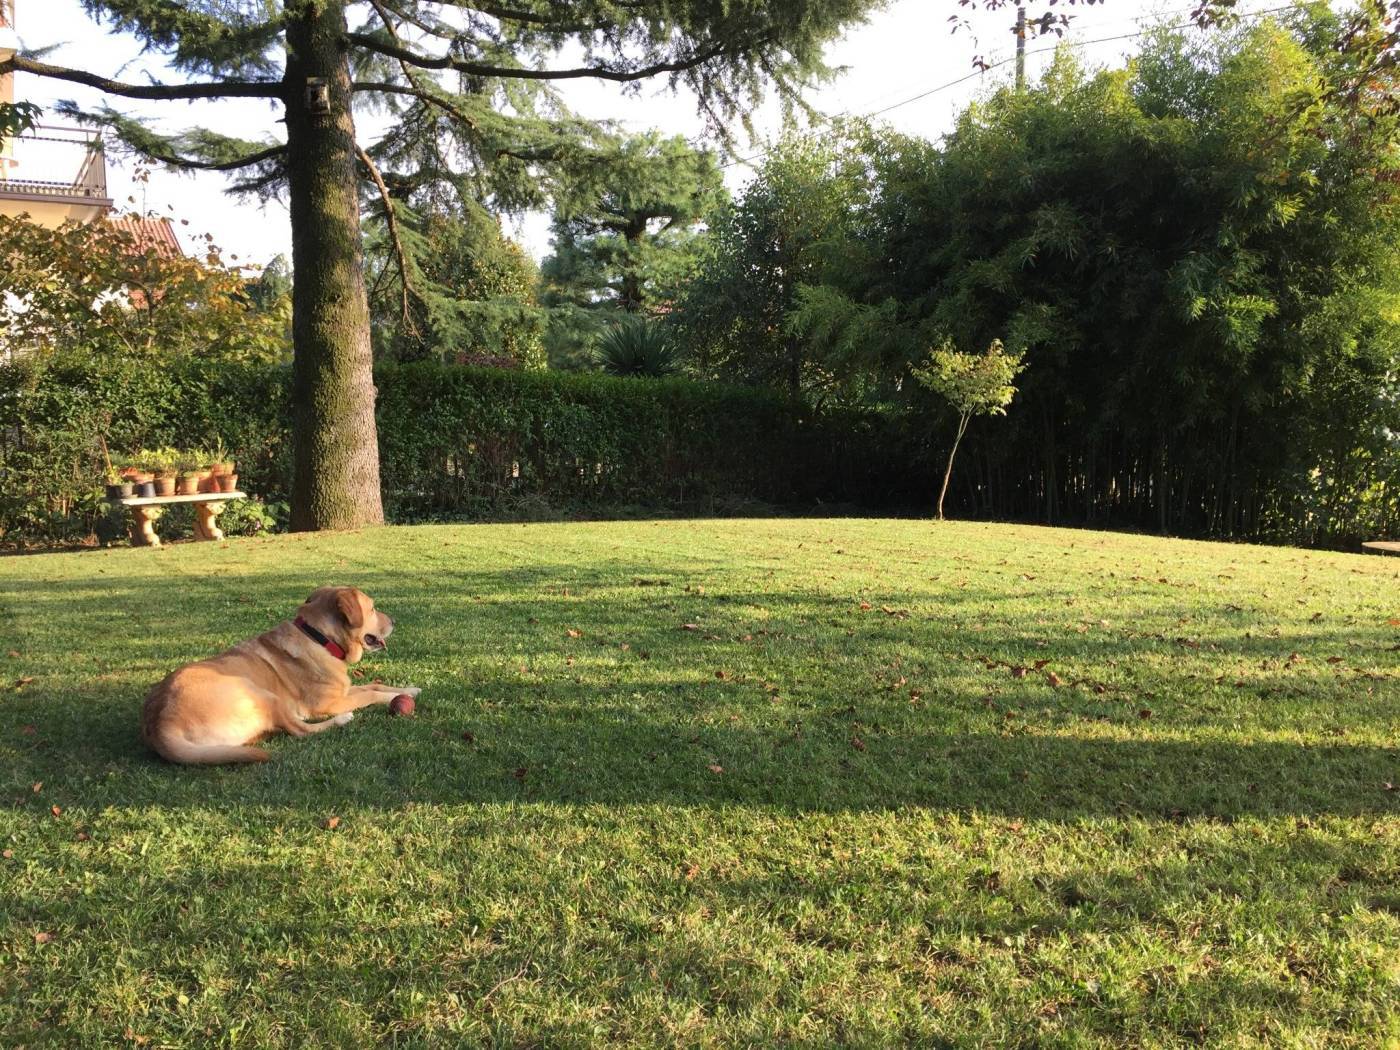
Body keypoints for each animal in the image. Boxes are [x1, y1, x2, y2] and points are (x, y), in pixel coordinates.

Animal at [142, 586, 420, 765]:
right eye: (372, 609)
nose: (394, 621)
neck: (319, 638)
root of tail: (160, 725)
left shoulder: (343, 690)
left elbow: (374, 685)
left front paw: (409, 689)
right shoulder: (329, 702)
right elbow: (371, 694)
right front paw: (395, 699)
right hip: (259, 693)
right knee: (300, 730)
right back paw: (342, 720)